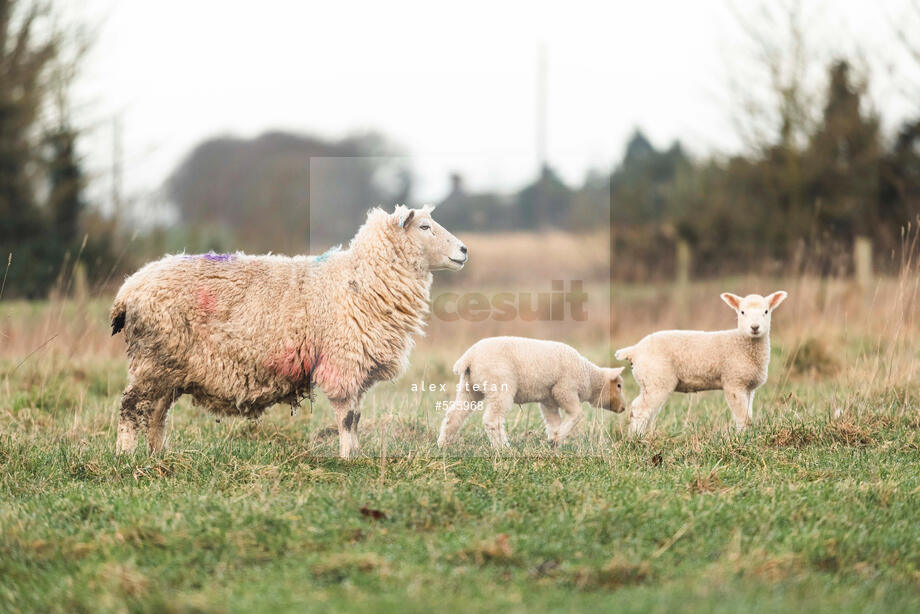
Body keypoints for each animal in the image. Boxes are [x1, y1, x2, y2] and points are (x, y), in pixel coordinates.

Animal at [109, 206, 468, 458]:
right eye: (425, 227)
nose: (464, 250)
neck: (361, 280)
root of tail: (128, 289)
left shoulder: (357, 367)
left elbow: (356, 416)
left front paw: (356, 453)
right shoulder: (341, 362)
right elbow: (347, 418)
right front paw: (347, 458)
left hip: (168, 366)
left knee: (157, 412)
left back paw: (158, 454)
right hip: (152, 359)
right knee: (131, 407)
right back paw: (127, 456)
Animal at [436, 340, 624, 450]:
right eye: (619, 385)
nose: (623, 408)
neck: (589, 375)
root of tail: (468, 358)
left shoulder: (548, 399)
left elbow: (553, 421)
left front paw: (554, 440)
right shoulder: (564, 389)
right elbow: (577, 414)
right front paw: (558, 437)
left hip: (469, 387)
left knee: (455, 415)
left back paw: (443, 443)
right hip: (500, 385)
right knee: (492, 420)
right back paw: (503, 447)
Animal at [616, 292, 788, 436]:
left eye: (766, 311)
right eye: (742, 312)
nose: (754, 327)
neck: (741, 344)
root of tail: (634, 350)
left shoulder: (748, 387)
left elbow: (748, 415)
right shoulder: (734, 382)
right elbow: (743, 417)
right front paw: (743, 438)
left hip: (649, 381)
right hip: (656, 379)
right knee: (640, 410)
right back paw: (636, 438)